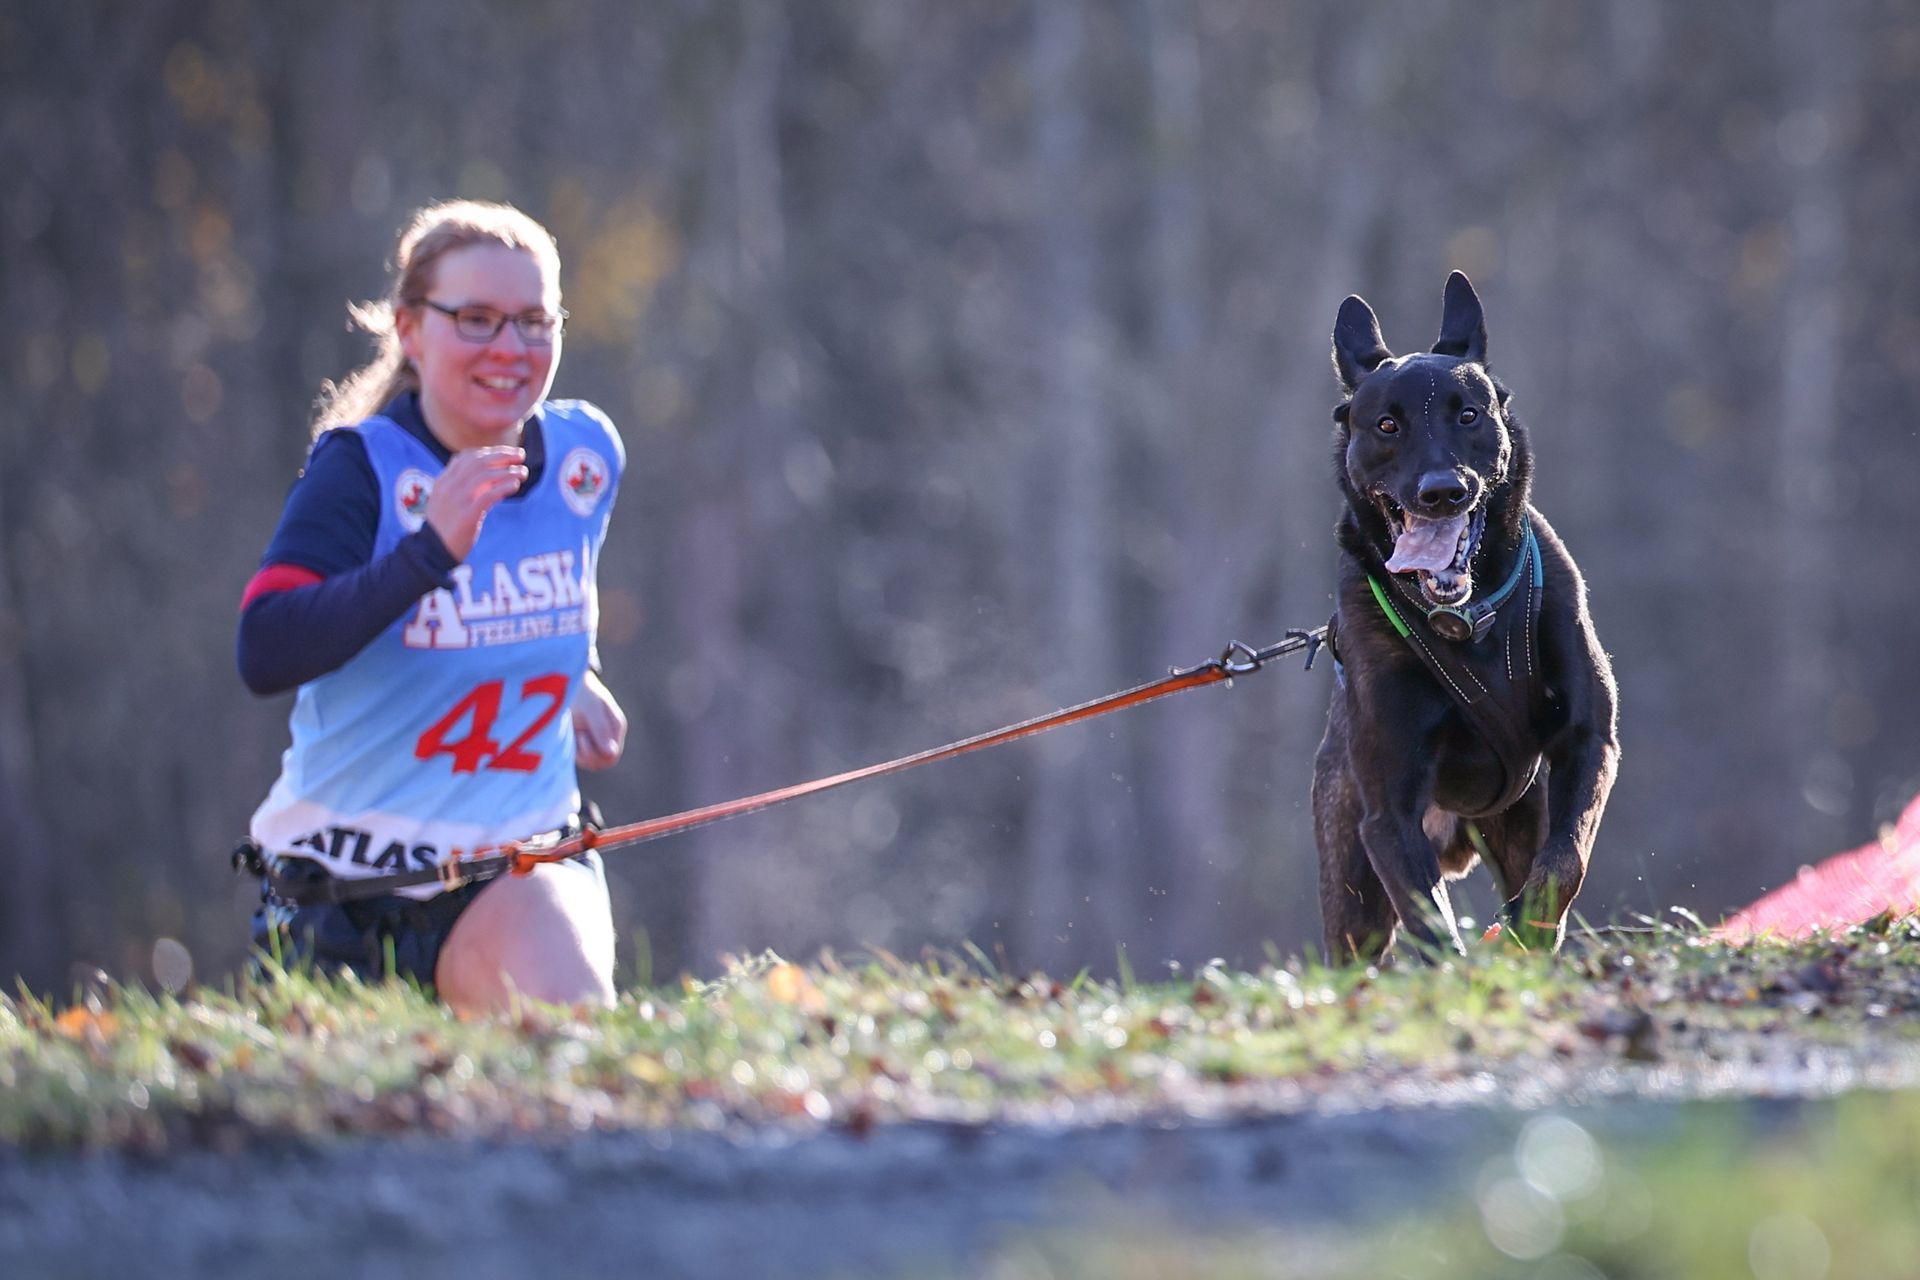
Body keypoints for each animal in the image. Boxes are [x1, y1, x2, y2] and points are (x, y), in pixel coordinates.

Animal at [1312, 272, 1618, 961]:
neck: (1468, 621)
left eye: (1469, 415)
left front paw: (1527, 931)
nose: (1442, 492)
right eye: (1387, 424)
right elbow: (1430, 926)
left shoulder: (1589, 743)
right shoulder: (1389, 812)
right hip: (1352, 882)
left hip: (1517, 817)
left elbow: (1563, 861)